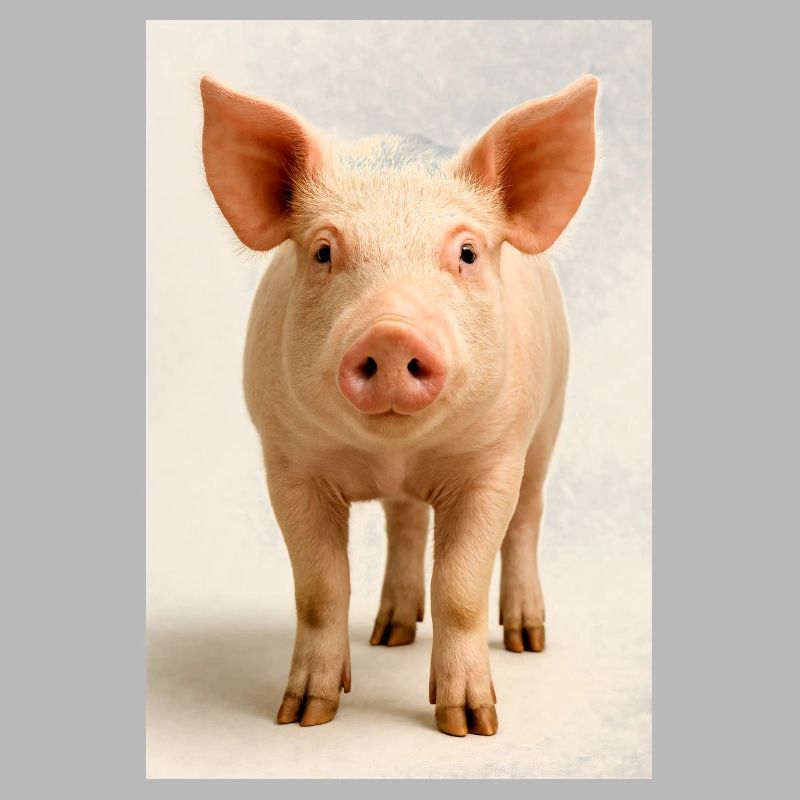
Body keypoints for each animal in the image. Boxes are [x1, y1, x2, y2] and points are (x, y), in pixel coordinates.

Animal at [200, 74, 598, 737]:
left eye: (467, 253)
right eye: (323, 252)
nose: (391, 333)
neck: (395, 453)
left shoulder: (494, 461)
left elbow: (460, 587)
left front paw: (472, 725)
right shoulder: (287, 463)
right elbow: (319, 589)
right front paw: (303, 716)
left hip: (551, 419)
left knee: (527, 519)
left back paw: (526, 640)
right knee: (406, 523)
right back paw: (390, 635)